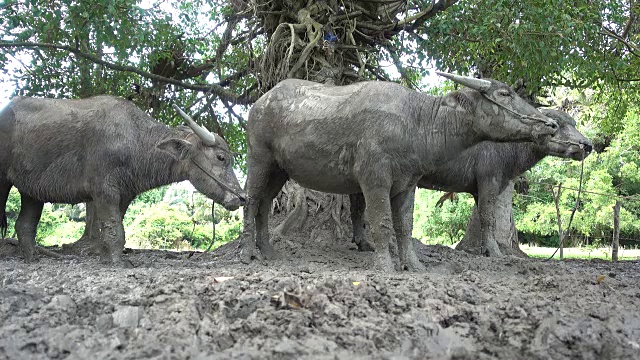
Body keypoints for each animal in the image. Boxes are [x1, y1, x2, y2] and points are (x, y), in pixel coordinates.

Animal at [0, 97, 246, 262]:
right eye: (221, 157)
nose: (241, 197)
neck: (136, 141)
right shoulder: (104, 191)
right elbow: (114, 229)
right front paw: (116, 261)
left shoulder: (125, 194)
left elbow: (113, 228)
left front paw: (106, 257)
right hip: (3, 179)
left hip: (31, 191)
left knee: (24, 225)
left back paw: (33, 258)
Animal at [240, 72, 560, 270]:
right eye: (504, 93)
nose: (551, 124)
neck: (416, 124)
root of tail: (260, 103)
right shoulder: (374, 180)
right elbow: (381, 223)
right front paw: (386, 265)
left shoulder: (408, 184)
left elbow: (404, 226)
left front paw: (413, 265)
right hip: (259, 159)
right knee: (251, 201)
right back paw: (248, 253)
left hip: (280, 170)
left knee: (265, 204)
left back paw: (268, 251)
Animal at [348, 108, 592, 260]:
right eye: (558, 125)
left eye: (574, 123)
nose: (587, 145)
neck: (507, 147)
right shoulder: (488, 181)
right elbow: (488, 218)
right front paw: (493, 251)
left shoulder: (479, 190)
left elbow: (482, 217)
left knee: (357, 206)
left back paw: (363, 243)